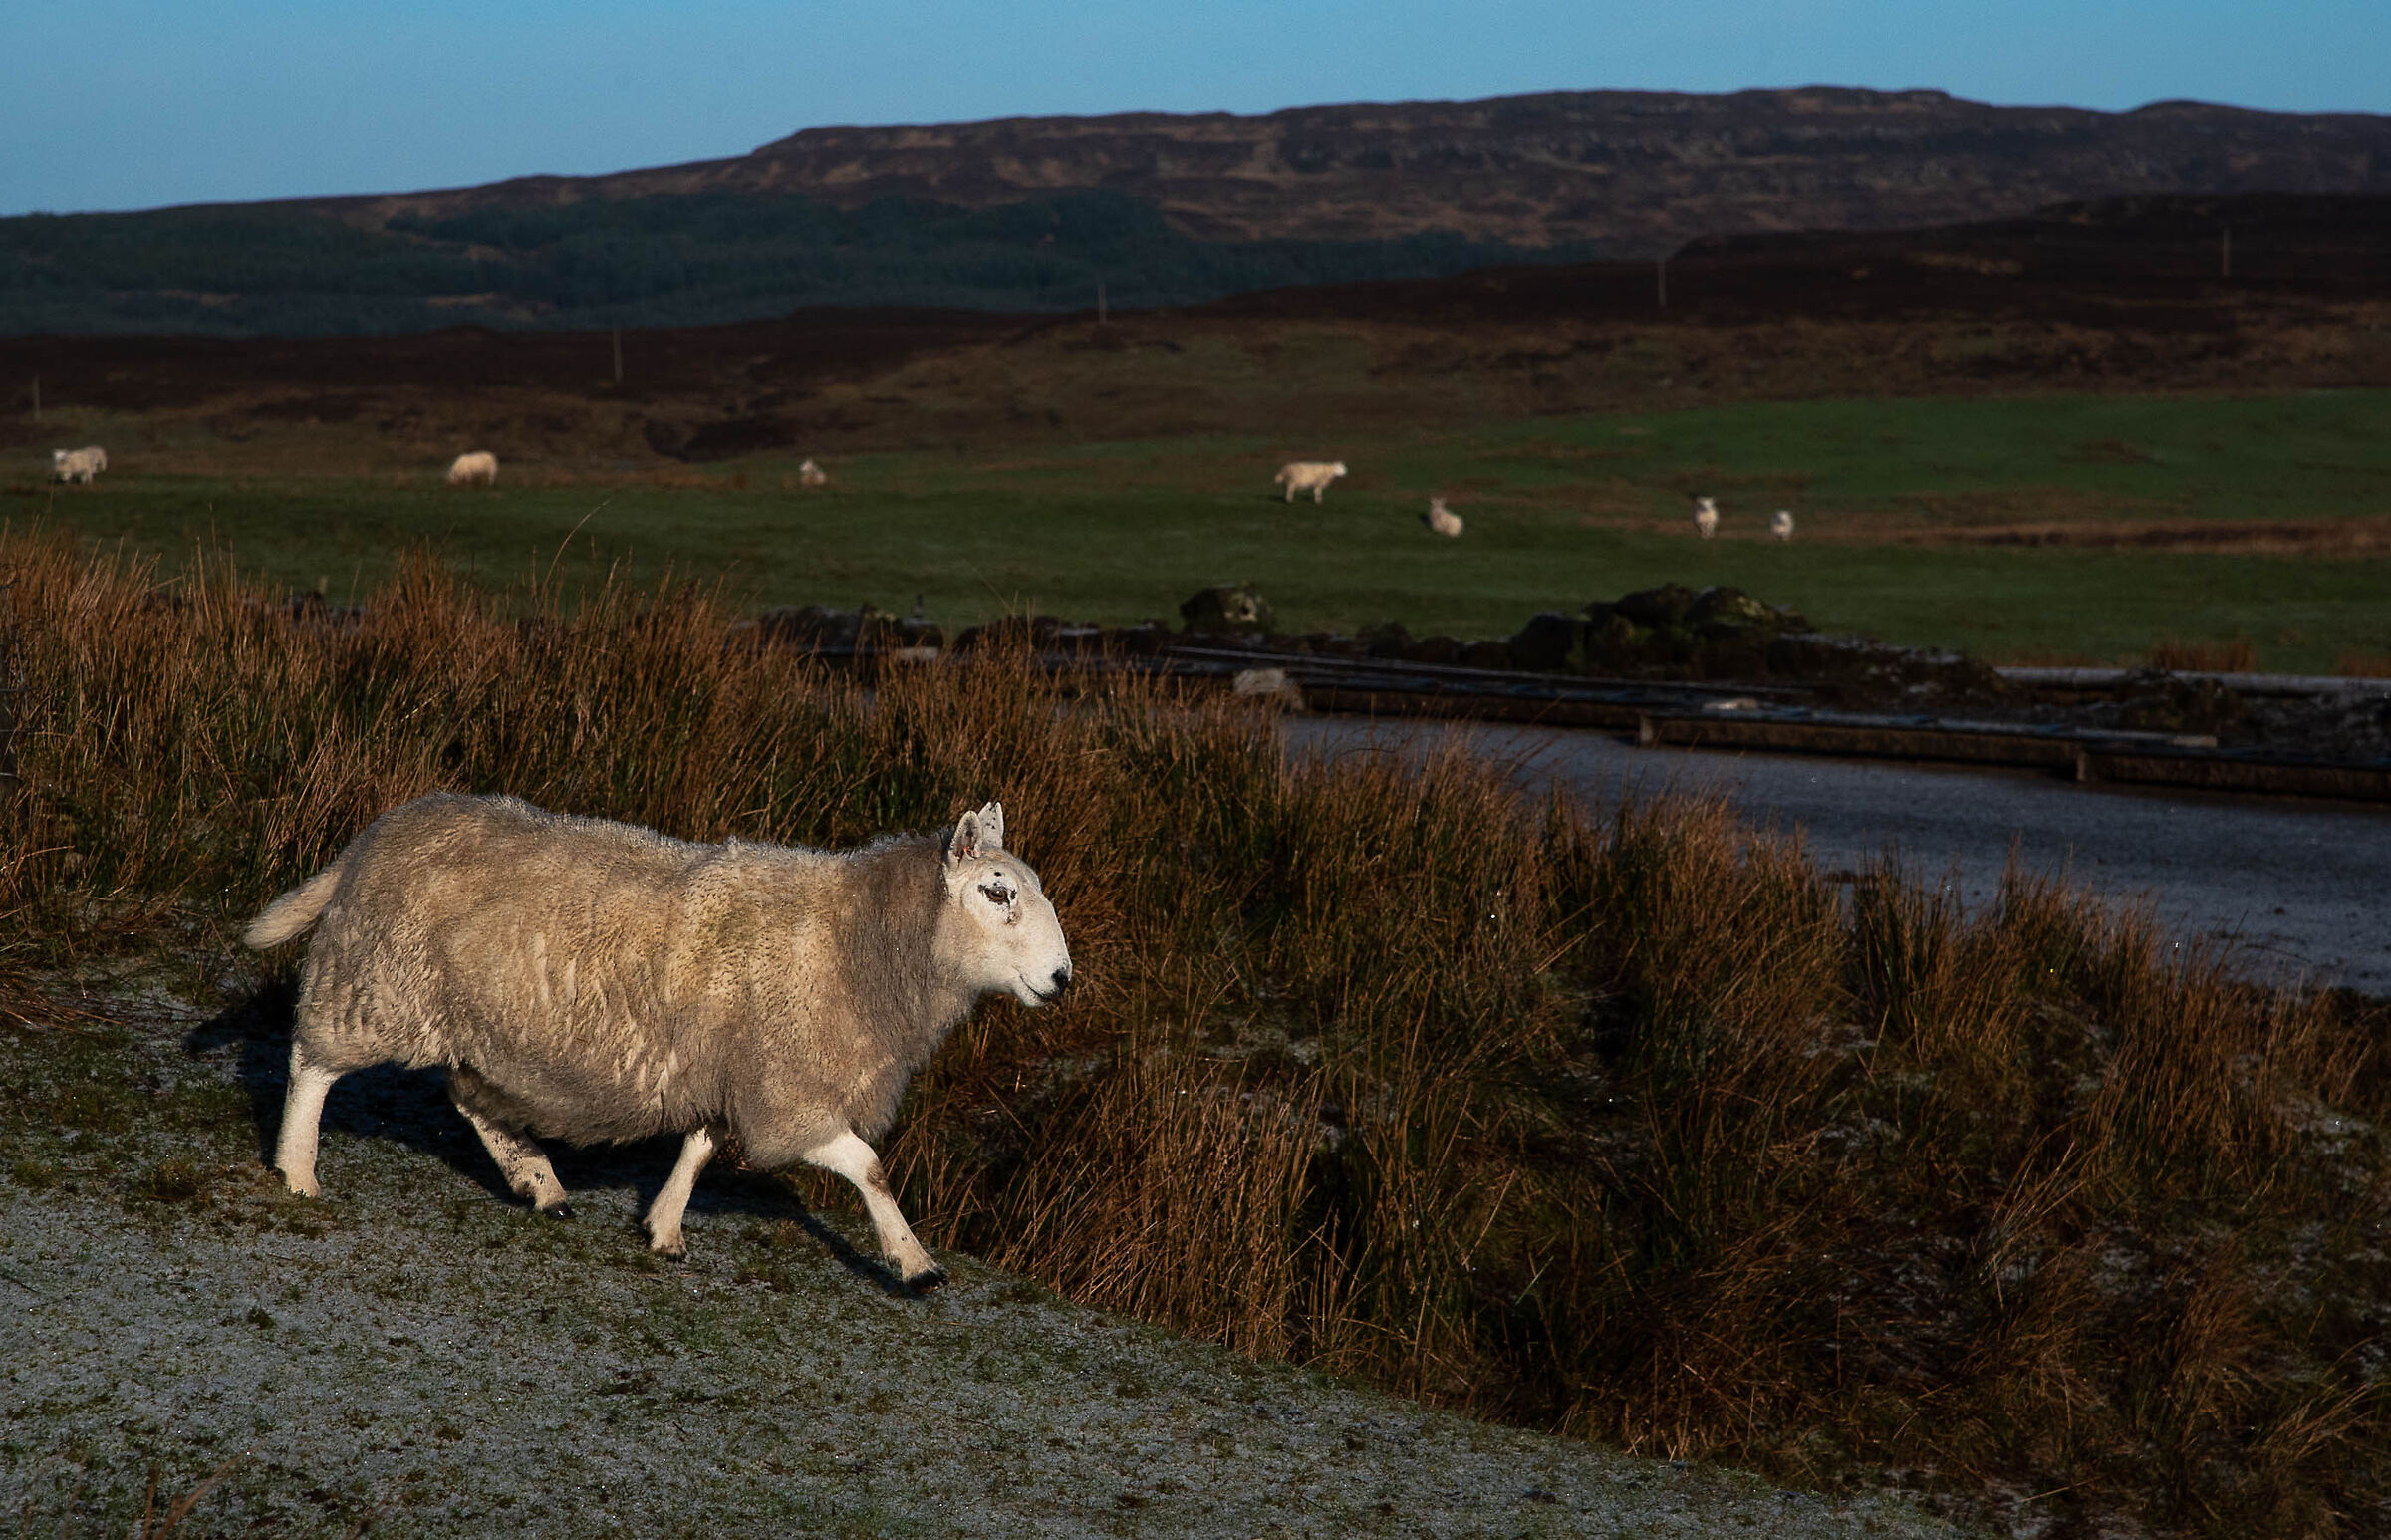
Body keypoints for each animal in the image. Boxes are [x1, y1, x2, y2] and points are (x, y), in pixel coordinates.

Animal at [243, 793, 1072, 1287]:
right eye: (997, 891)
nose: (1062, 978)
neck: (860, 942)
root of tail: (380, 832)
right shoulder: (784, 1089)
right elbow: (868, 1168)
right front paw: (914, 1260)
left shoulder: (735, 1067)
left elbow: (700, 1147)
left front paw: (665, 1225)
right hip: (379, 983)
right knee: (312, 1061)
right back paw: (298, 1168)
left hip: (471, 1021)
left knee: (471, 1097)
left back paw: (538, 1181)